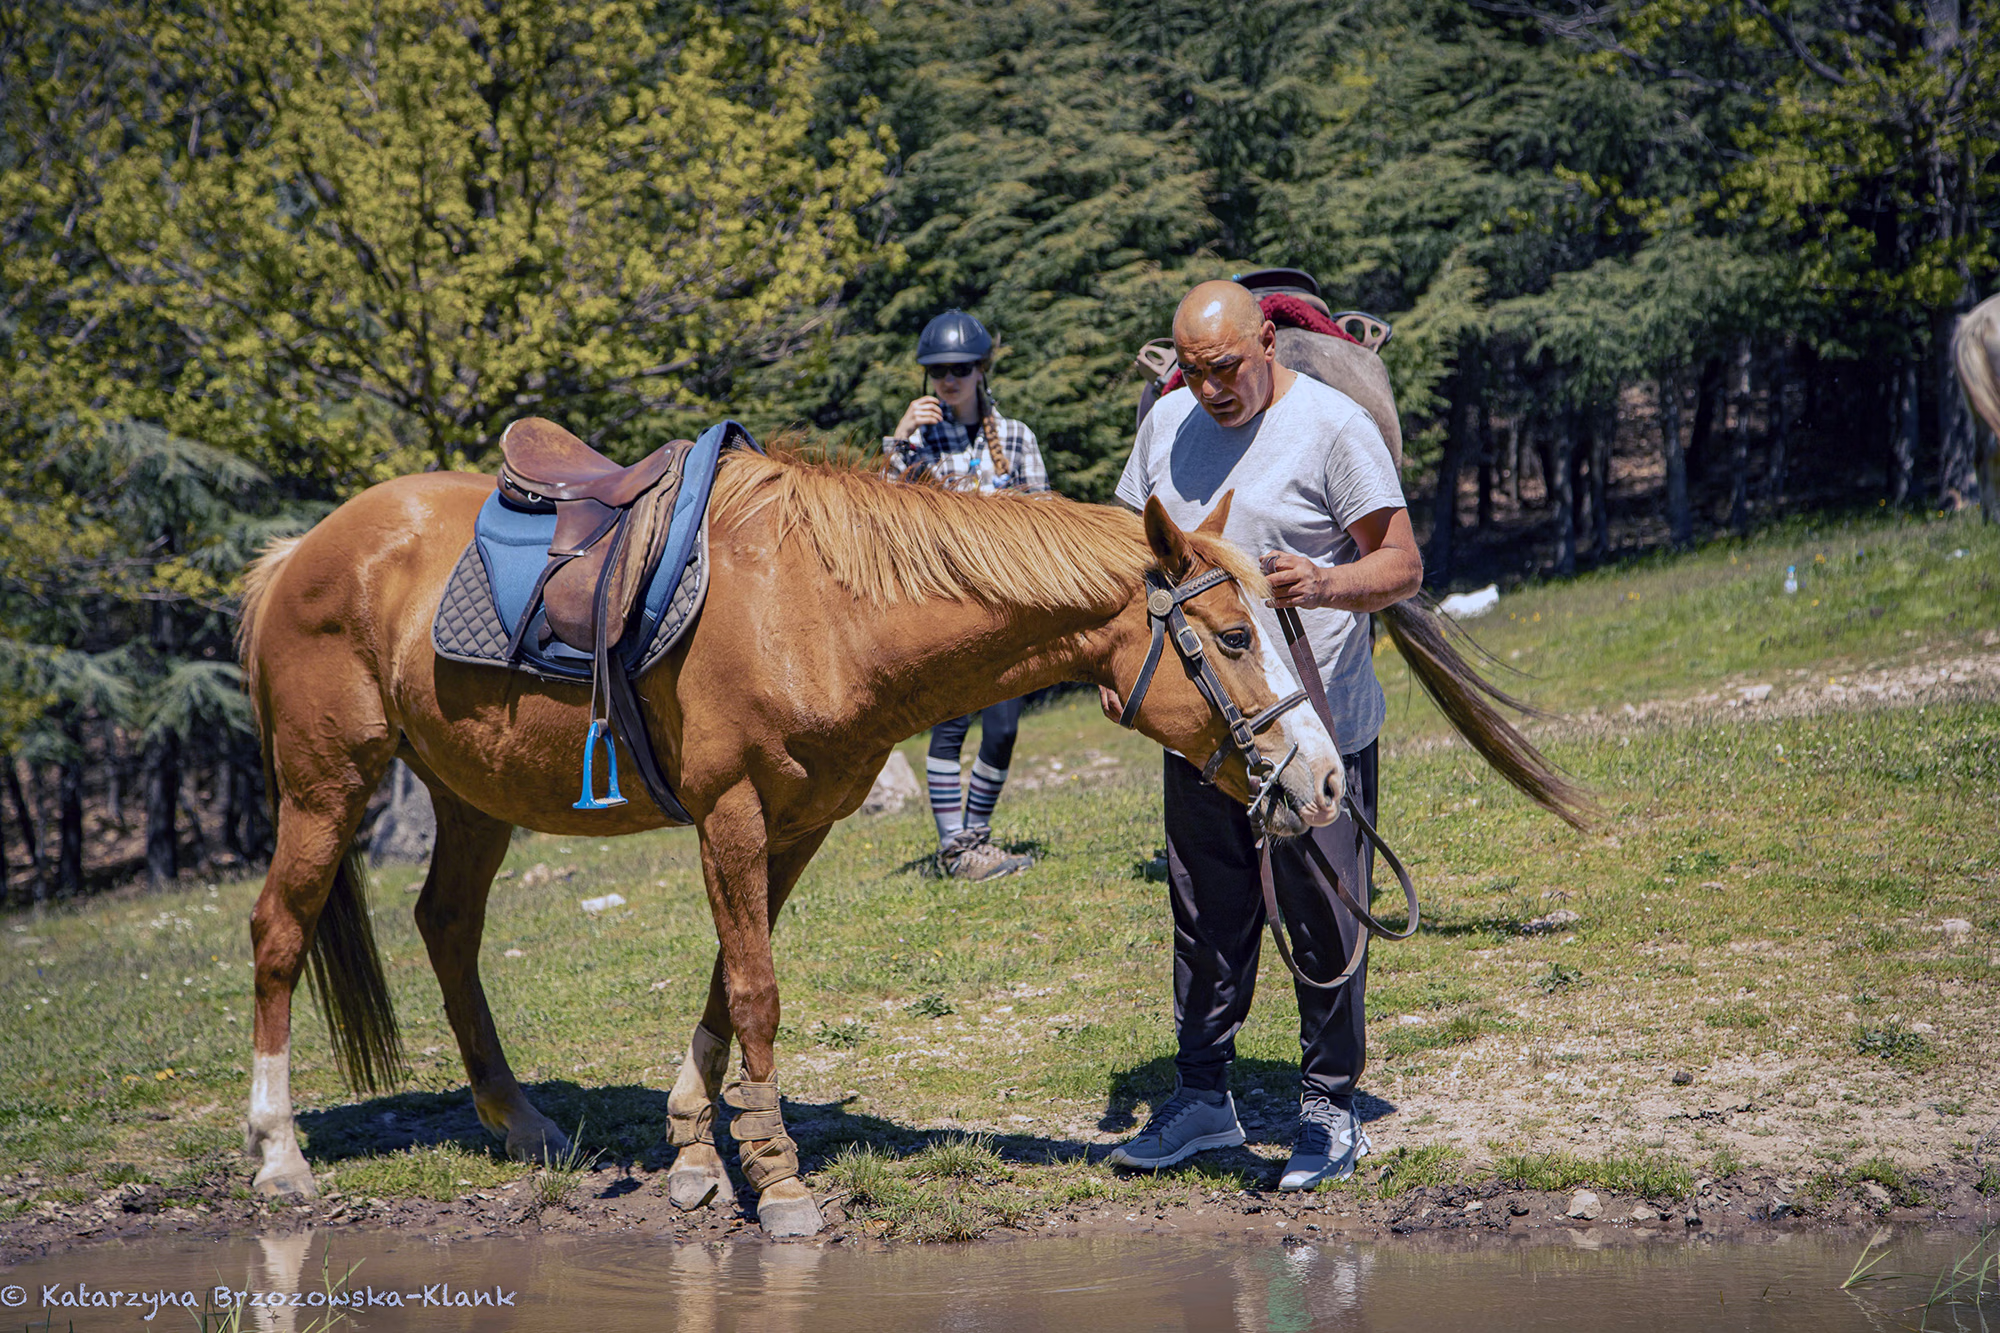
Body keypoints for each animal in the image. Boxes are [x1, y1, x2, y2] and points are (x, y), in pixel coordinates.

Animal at [235, 443, 1584, 1236]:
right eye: (1234, 639)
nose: (1318, 779)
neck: (820, 608)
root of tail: (297, 554)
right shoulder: (731, 813)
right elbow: (758, 992)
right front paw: (776, 1183)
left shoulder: (792, 825)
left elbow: (726, 987)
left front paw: (698, 1152)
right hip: (325, 785)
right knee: (278, 932)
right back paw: (280, 1159)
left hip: (467, 793)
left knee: (445, 928)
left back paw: (518, 1124)